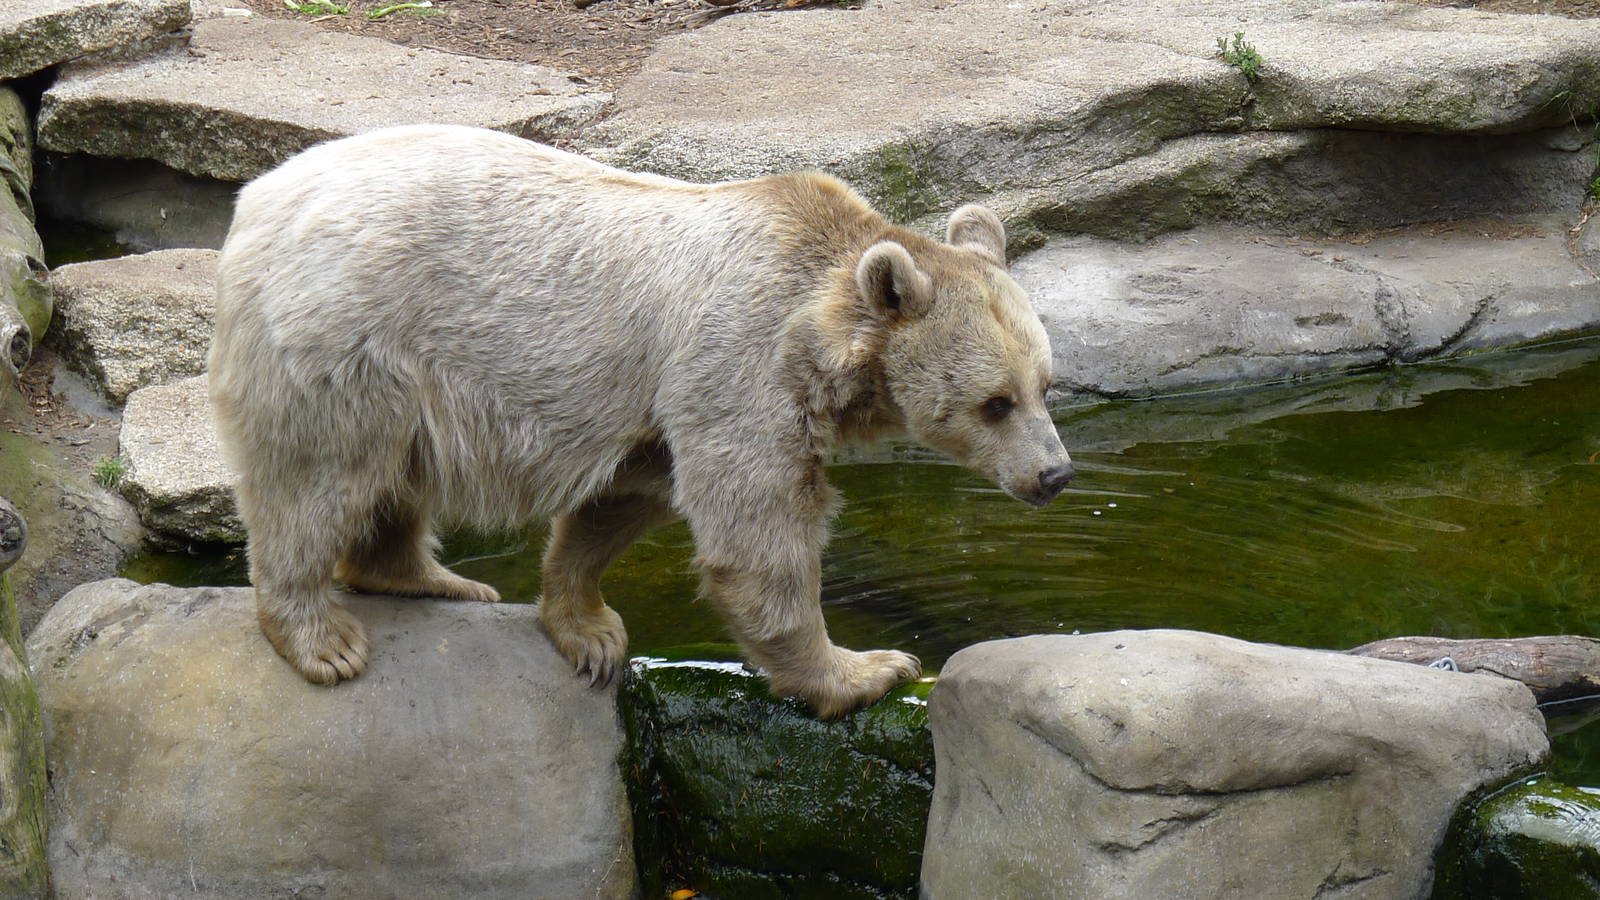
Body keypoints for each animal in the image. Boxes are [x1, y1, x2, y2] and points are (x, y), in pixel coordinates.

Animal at [208, 124, 1074, 717]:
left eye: (1045, 384)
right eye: (995, 403)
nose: (1055, 474)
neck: (821, 323)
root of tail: (255, 202)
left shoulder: (663, 401)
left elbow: (628, 497)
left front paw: (586, 628)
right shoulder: (740, 361)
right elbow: (757, 529)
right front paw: (864, 669)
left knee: (390, 477)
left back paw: (433, 577)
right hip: (349, 335)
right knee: (319, 476)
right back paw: (320, 638)